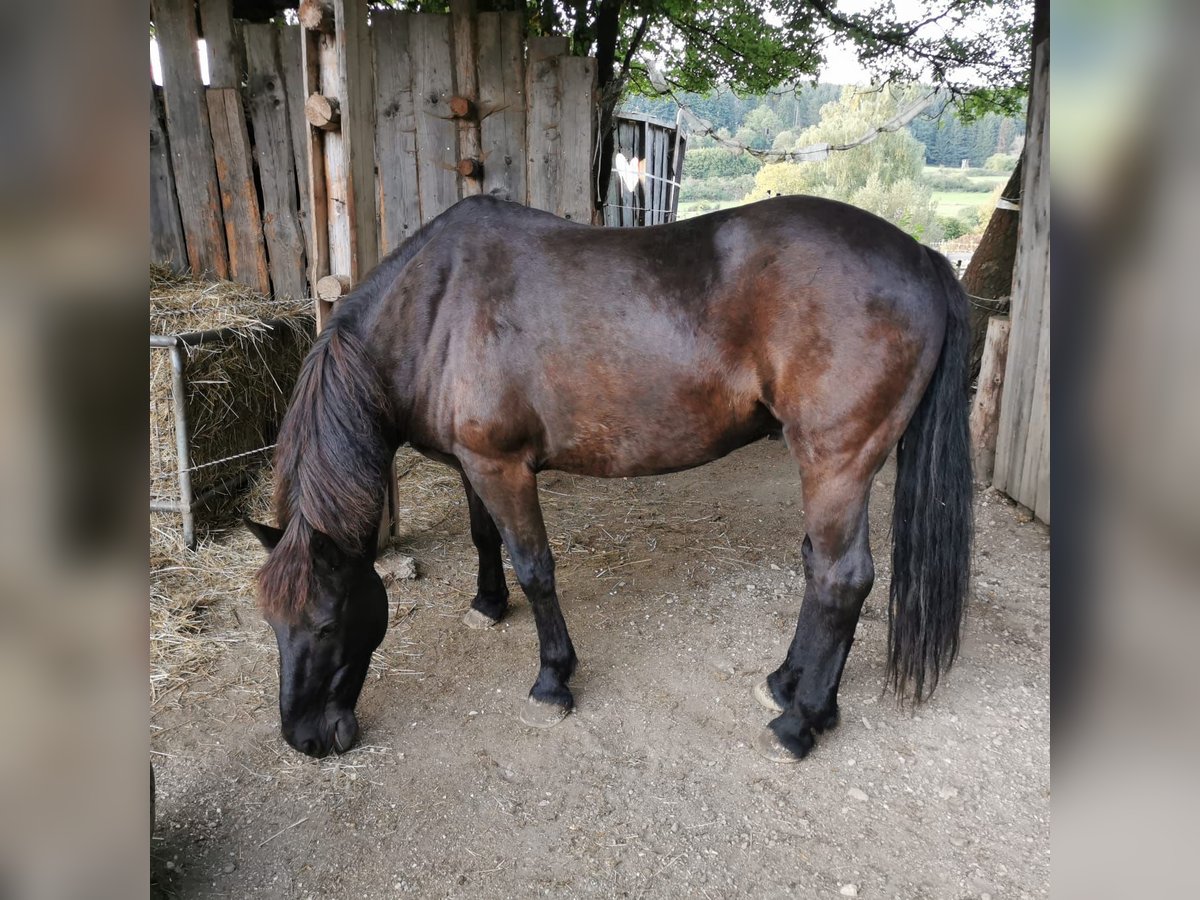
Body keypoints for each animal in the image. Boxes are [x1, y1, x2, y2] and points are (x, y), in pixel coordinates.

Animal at [248, 194, 969, 763]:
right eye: (272, 624)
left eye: (325, 623)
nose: (304, 739)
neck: (435, 306)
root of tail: (922, 256)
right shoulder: (474, 464)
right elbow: (486, 539)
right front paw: (488, 604)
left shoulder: (503, 468)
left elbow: (535, 568)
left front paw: (552, 680)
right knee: (819, 569)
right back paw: (787, 683)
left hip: (836, 462)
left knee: (842, 579)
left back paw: (801, 722)